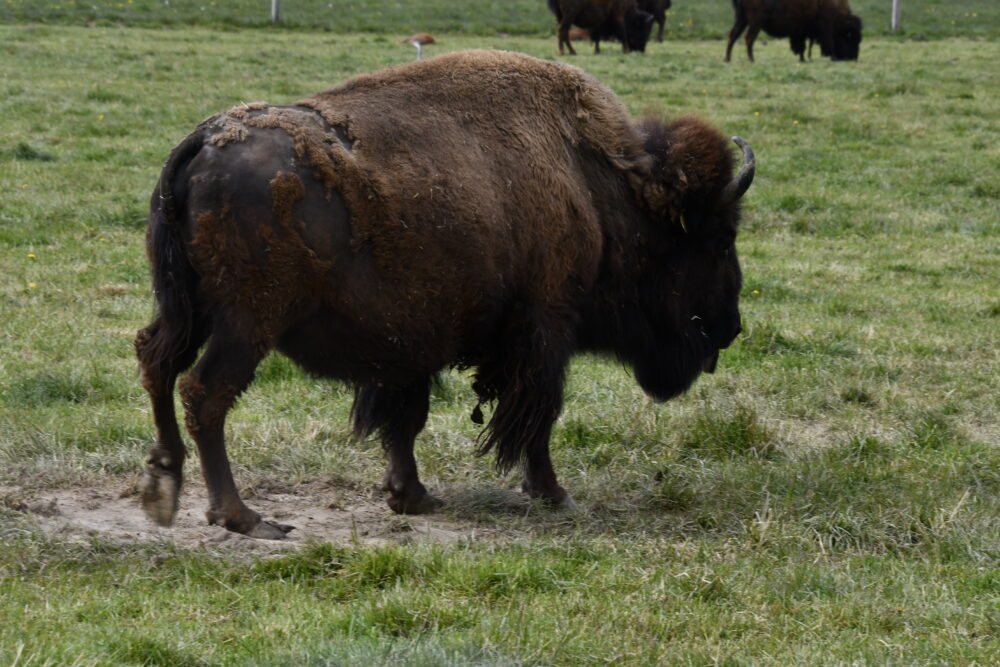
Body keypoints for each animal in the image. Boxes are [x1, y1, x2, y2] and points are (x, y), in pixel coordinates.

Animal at [137, 49, 752, 540]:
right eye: (720, 239)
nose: (731, 327)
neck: (597, 186)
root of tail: (201, 141)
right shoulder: (547, 328)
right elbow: (537, 417)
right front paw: (554, 494)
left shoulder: (410, 344)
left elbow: (406, 420)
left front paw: (411, 496)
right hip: (248, 322)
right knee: (204, 391)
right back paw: (243, 517)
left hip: (186, 309)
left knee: (157, 361)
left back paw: (164, 487)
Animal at [724, 0, 864, 62]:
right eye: (849, 37)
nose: (853, 58)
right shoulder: (824, 26)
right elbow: (827, 43)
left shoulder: (800, 31)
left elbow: (801, 46)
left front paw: (803, 59)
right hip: (755, 22)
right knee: (748, 38)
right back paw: (751, 59)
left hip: (742, 19)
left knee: (732, 35)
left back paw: (727, 59)